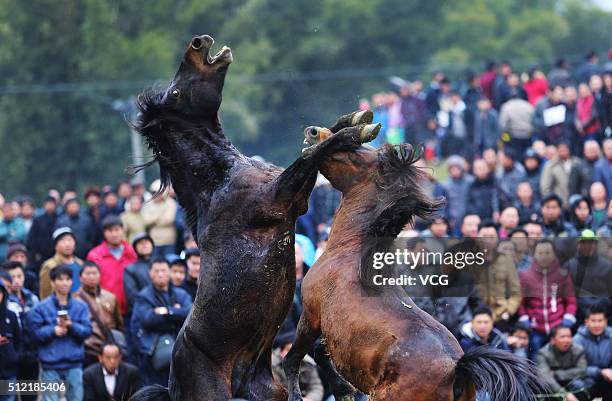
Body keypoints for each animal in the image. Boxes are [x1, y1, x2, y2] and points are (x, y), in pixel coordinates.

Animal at [128, 35, 378, 400]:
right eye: (175, 93)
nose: (198, 43)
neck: (220, 177)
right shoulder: (279, 199)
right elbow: (311, 157)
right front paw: (355, 132)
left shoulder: (296, 203)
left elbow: (313, 148)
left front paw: (351, 119)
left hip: (267, 392)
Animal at [282, 123, 540, 400]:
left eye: (355, 153)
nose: (313, 132)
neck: (349, 253)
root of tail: (457, 369)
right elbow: (320, 352)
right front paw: (344, 390)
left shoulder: (311, 312)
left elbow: (295, 357)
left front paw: (300, 394)